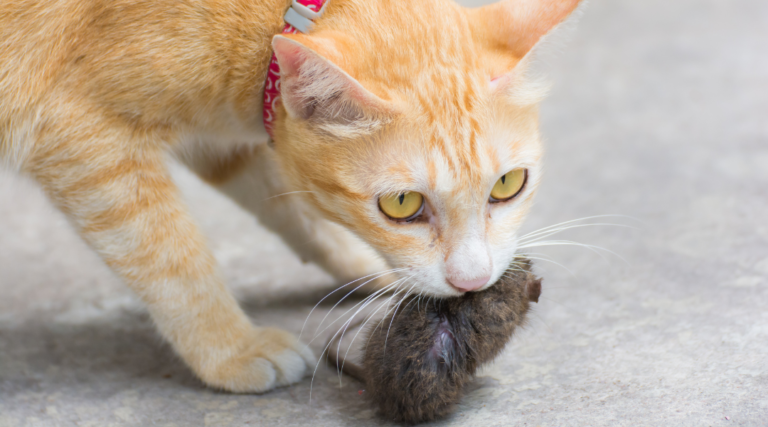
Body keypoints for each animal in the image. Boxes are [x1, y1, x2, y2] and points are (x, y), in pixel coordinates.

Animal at [0, 0, 580, 394]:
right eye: (401, 205)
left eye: (508, 185)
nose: (472, 282)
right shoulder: (81, 139)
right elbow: (172, 257)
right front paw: (230, 349)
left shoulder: (228, 143)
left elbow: (294, 211)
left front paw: (365, 268)